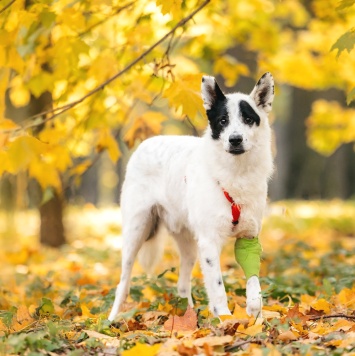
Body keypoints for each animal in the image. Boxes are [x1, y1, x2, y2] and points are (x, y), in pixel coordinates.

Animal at [108, 71, 276, 320]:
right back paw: (110, 320)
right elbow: (217, 286)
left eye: (248, 119)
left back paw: (187, 316)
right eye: (222, 121)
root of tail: (146, 142)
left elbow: (254, 283)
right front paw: (225, 318)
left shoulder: (249, 237)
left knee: (182, 284)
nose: (235, 139)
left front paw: (254, 314)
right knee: (123, 283)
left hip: (188, 242)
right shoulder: (209, 241)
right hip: (136, 231)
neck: (235, 172)